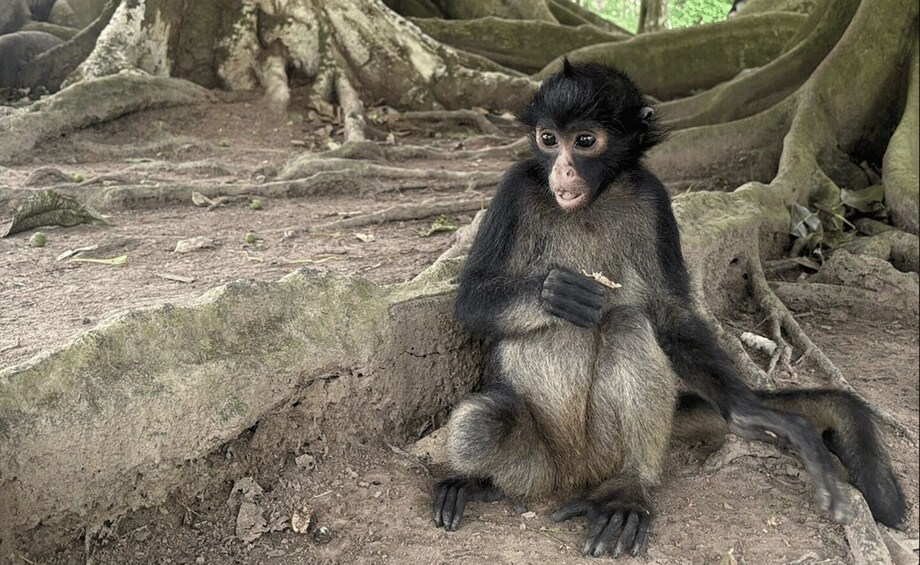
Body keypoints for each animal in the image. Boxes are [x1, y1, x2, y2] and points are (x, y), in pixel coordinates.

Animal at [431, 60, 905, 558]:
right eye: (547, 139)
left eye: (584, 141)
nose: (561, 169)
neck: (592, 202)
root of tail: (575, 473)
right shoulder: (515, 187)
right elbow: (469, 302)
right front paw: (556, 294)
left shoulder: (654, 197)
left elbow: (669, 315)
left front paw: (750, 409)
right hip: (539, 464)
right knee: (483, 421)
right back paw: (477, 482)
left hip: (607, 450)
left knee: (626, 323)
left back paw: (627, 494)